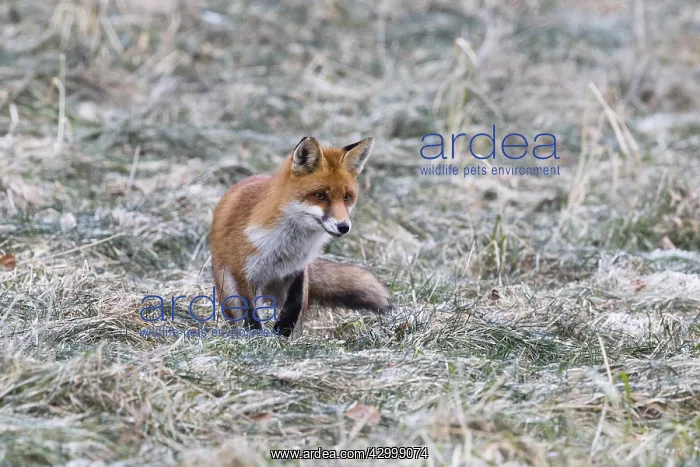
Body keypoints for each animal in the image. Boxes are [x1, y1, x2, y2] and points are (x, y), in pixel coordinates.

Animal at [209, 136, 392, 337]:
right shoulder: (244, 274)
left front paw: (283, 331)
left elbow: (294, 303)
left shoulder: (296, 268)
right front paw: (259, 337)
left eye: (347, 197)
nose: (343, 227)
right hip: (228, 291)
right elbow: (252, 316)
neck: (286, 245)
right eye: (320, 196)